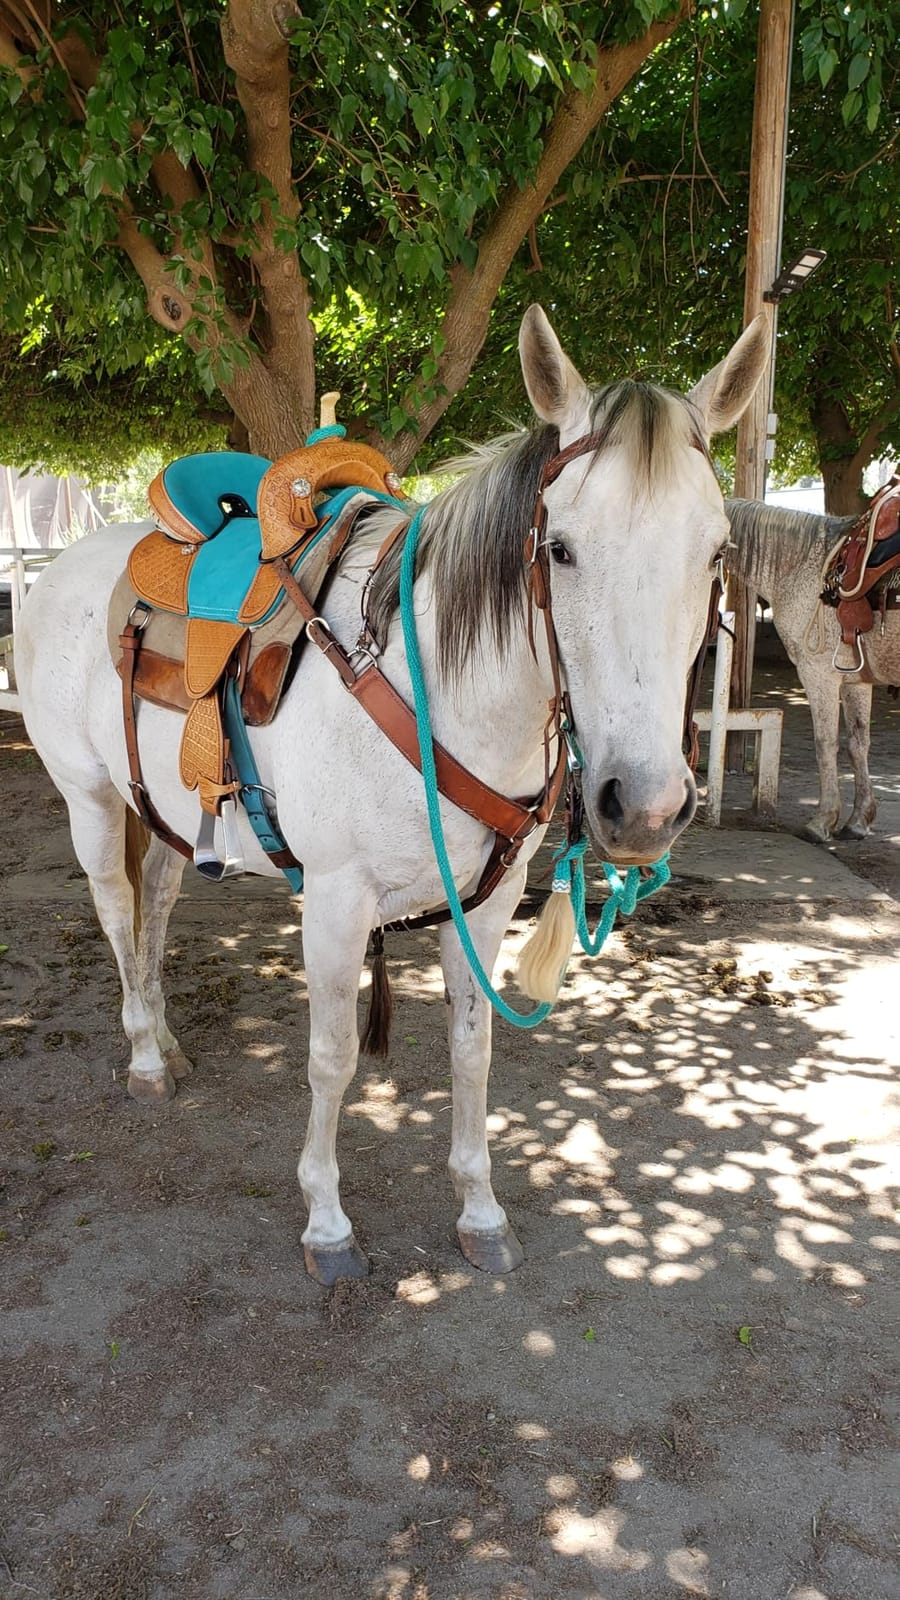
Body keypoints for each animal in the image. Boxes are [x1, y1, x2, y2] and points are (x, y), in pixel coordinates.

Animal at [15, 307, 768, 1282]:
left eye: (717, 551)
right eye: (560, 548)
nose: (641, 806)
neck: (433, 688)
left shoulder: (487, 904)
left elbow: (473, 1050)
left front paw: (481, 1212)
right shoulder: (336, 904)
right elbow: (332, 1059)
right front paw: (327, 1222)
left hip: (169, 815)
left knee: (157, 906)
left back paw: (170, 1043)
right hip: (93, 801)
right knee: (114, 908)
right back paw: (145, 1054)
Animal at [725, 498, 900, 842]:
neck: (803, 564)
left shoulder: (818, 675)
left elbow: (826, 743)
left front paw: (822, 821)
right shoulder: (855, 680)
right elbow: (858, 744)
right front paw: (858, 820)